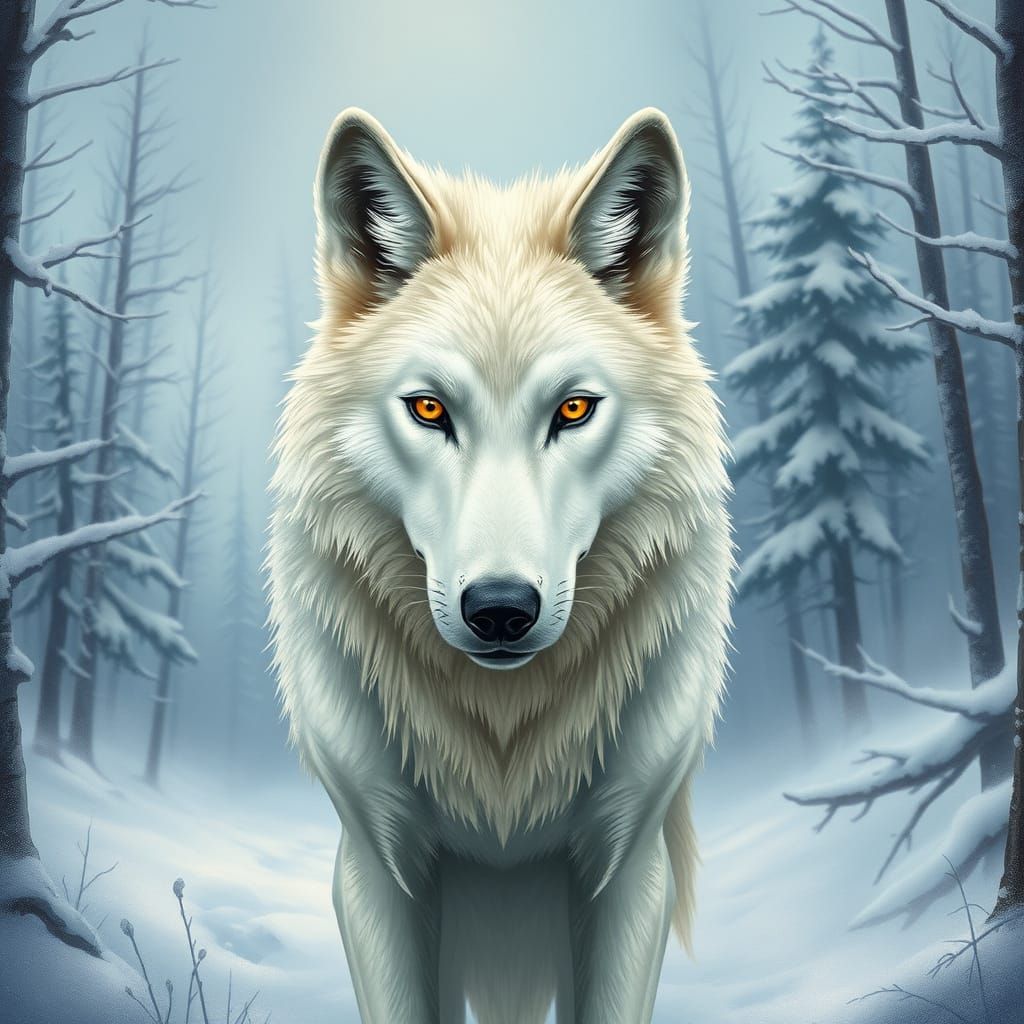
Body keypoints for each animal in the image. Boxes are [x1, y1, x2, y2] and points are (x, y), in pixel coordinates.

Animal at [267, 105, 732, 1024]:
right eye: (429, 409)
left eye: (574, 409)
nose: (501, 609)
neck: (502, 749)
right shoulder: (378, 868)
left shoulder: (628, 869)